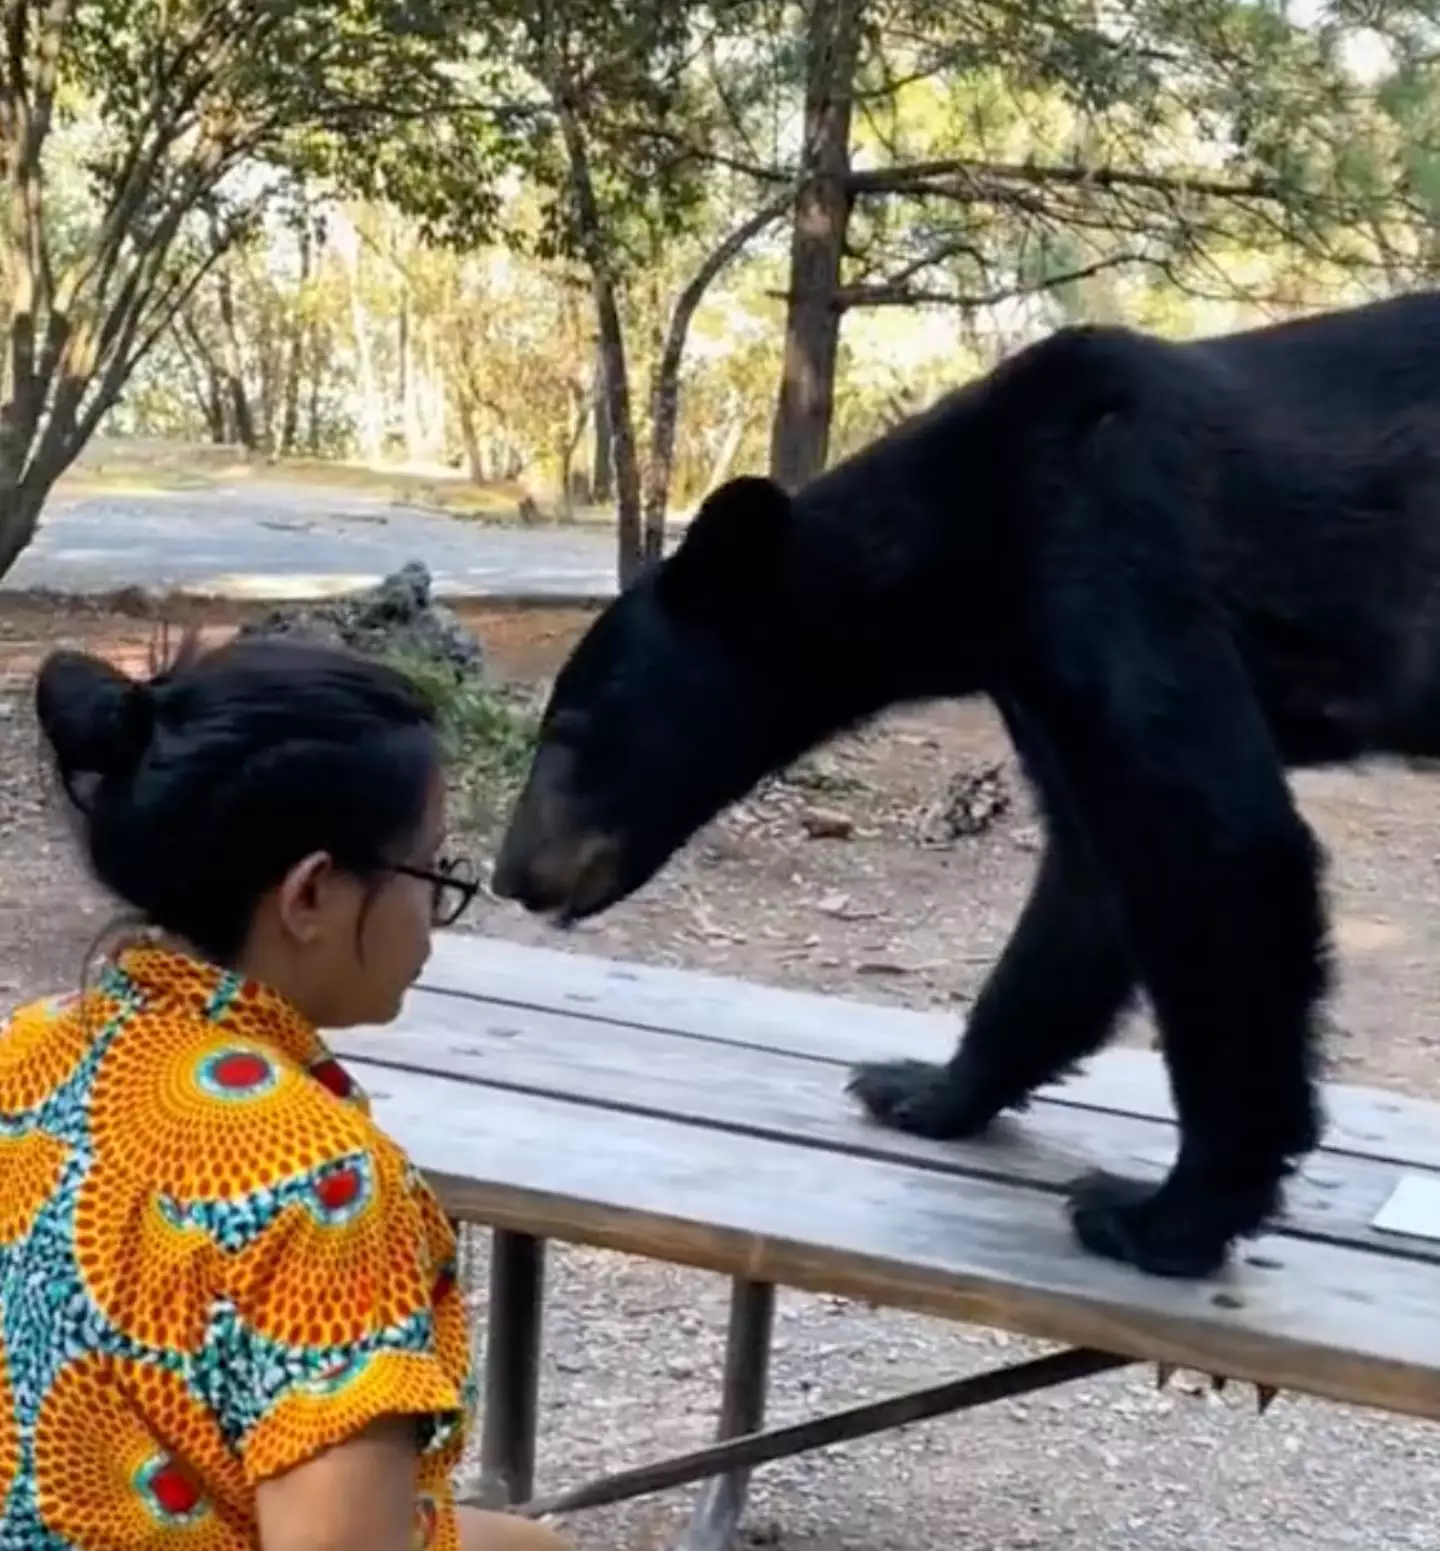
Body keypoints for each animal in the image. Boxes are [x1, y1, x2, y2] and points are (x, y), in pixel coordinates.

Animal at [490, 287, 1440, 1280]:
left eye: (571, 728)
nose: (511, 873)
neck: (971, 540)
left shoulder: (1114, 562)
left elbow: (1217, 844)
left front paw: (1166, 1212)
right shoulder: (1037, 666)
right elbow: (1084, 879)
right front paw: (925, 1088)